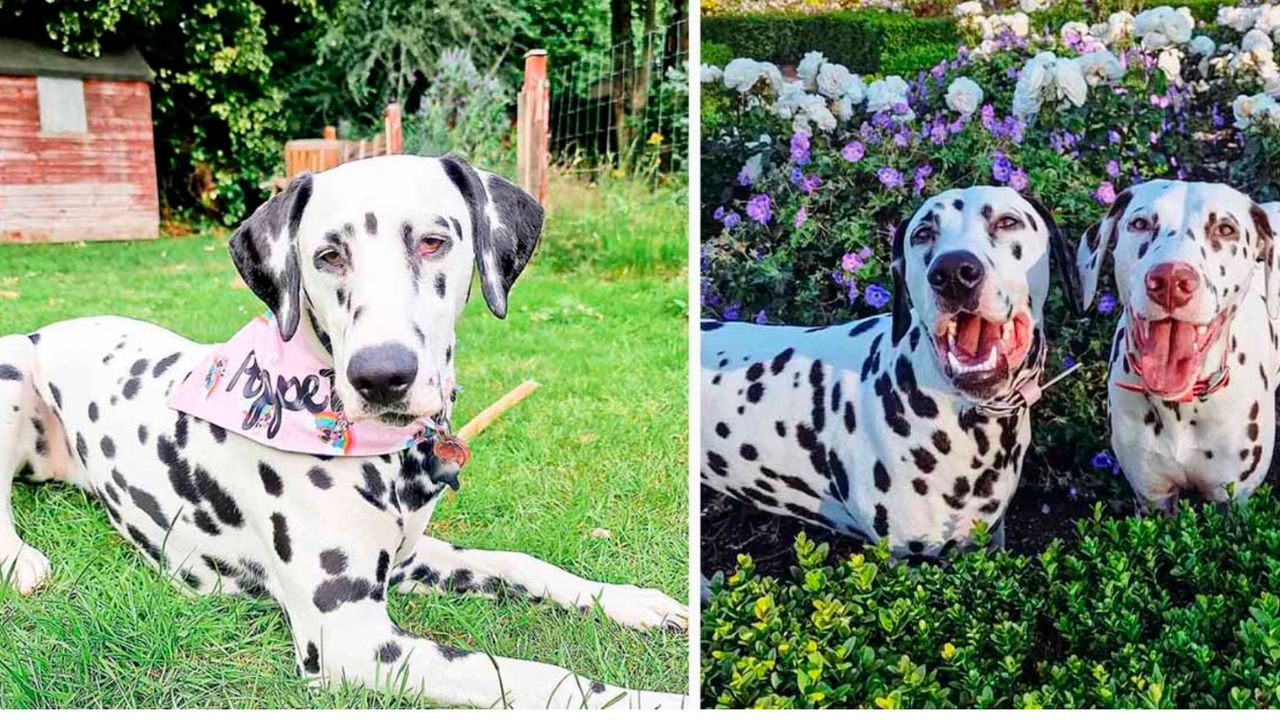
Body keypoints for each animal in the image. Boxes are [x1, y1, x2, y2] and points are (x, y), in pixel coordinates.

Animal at [0, 155, 691, 707]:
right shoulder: (352, 638)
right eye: (328, 255)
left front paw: (634, 601)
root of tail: (48, 328)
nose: (381, 375)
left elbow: (522, 564)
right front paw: (657, 701)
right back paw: (21, 560)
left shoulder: (413, 557)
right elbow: (537, 677)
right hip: (10, 375)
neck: (386, 459)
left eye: (434, 242)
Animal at [1075, 179, 1280, 509]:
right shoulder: (1153, 497)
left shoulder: (1232, 499)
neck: (1180, 407)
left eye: (1225, 229)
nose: (1171, 280)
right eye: (1140, 223)